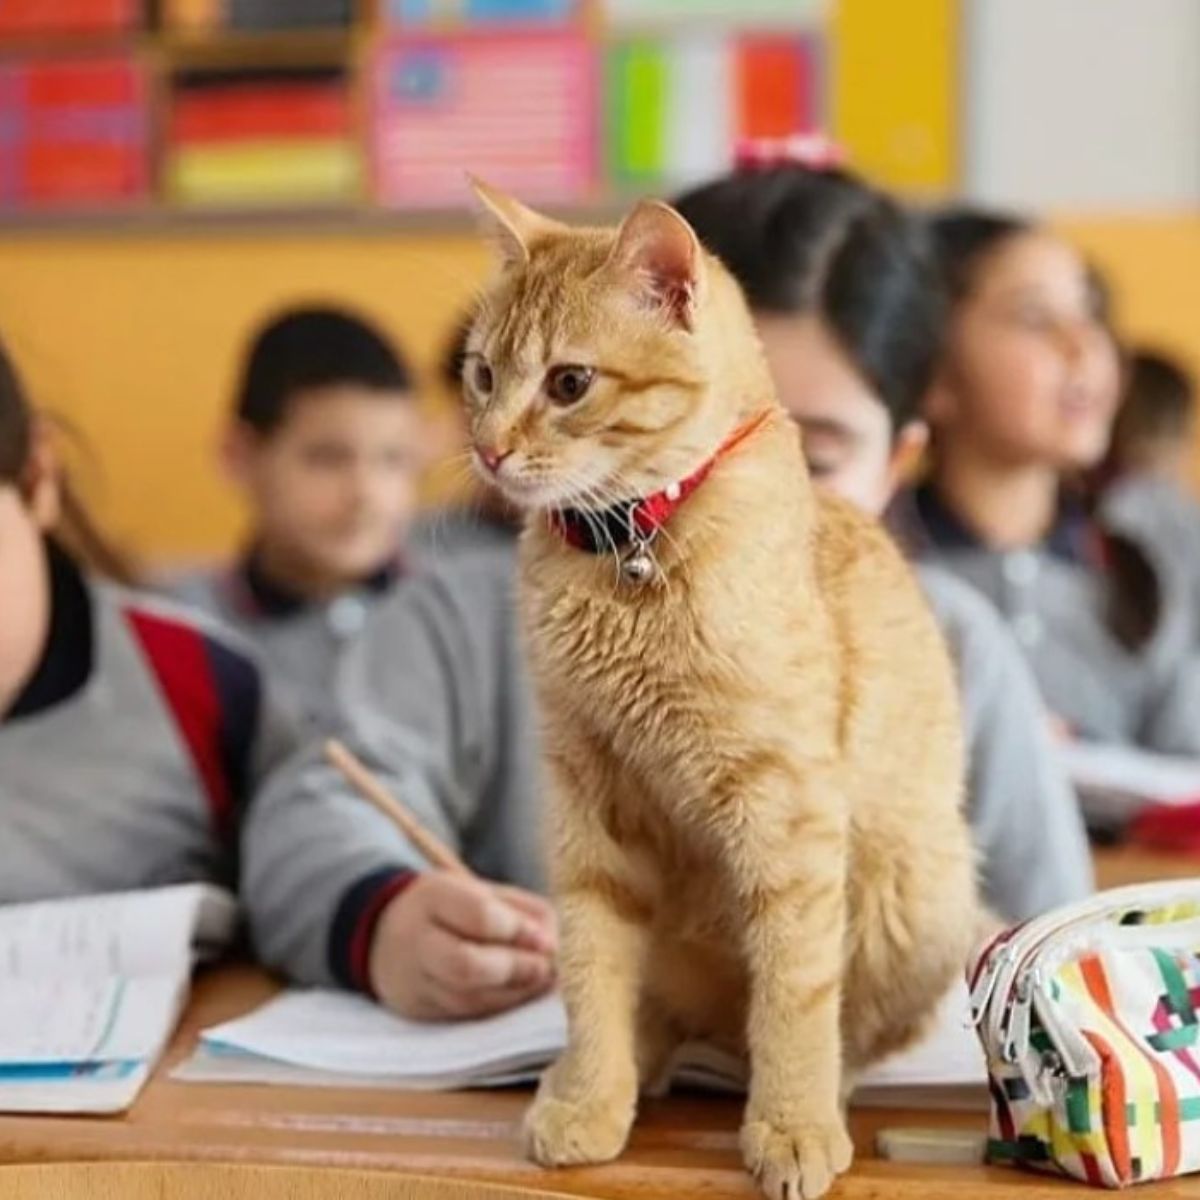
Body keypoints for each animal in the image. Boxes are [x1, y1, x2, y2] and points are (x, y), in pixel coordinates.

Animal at [463, 177, 979, 1200]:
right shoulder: (589, 804)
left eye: (569, 384)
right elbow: (590, 968)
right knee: (659, 1005)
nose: (488, 450)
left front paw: (791, 1123)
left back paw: (826, 1093)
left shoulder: (789, 818)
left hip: (919, 893)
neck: (629, 552)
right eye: (484, 376)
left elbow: (795, 993)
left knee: (848, 1027)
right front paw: (592, 1094)